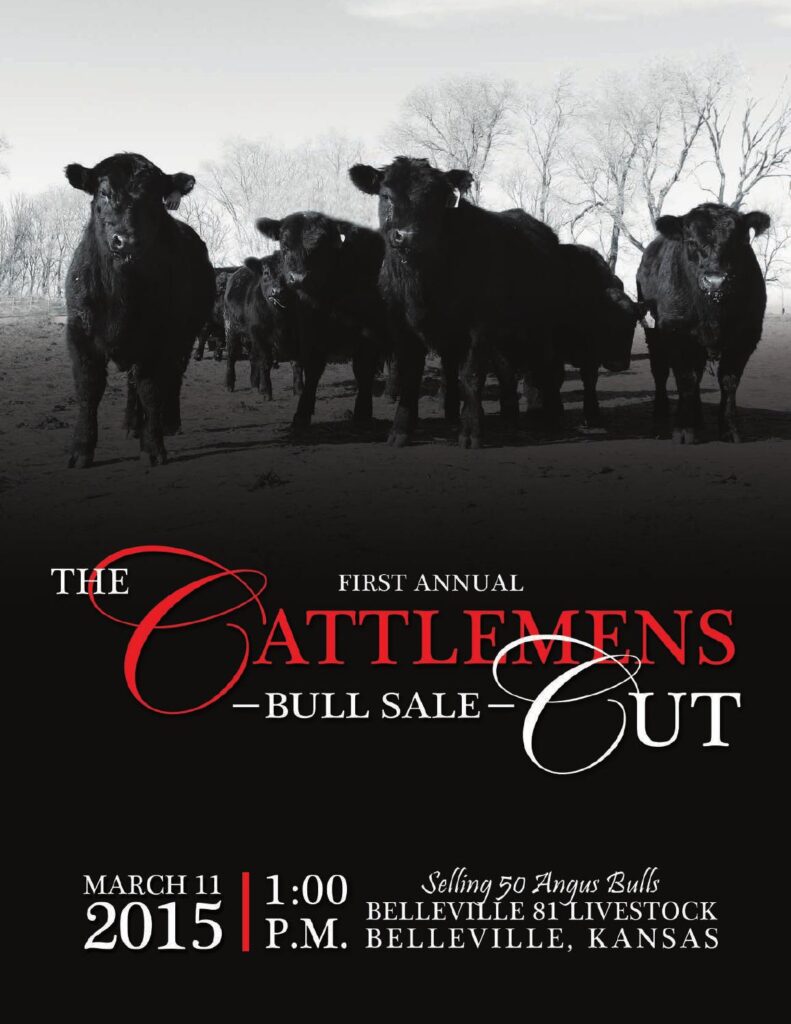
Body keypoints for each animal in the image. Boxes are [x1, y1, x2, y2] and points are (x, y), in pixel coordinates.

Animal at [64, 152, 214, 467]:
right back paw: (132, 424)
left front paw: (153, 446)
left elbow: (152, 389)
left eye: (154, 199)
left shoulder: (163, 337)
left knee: (173, 377)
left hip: (186, 337)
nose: (127, 240)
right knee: (133, 382)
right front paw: (81, 449)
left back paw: (169, 423)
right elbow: (88, 388)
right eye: (104, 193)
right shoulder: (80, 332)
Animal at [255, 212, 387, 430]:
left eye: (322, 247)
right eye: (285, 245)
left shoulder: (370, 332)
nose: (298, 278)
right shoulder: (310, 331)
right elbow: (313, 369)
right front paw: (302, 413)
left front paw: (362, 412)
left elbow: (362, 369)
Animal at [349, 157, 561, 448]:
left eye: (437, 199)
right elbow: (409, 377)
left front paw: (471, 432)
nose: (408, 235)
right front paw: (400, 431)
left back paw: (549, 418)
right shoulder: (402, 328)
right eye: (386, 196)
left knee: (545, 365)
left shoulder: (478, 327)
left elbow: (470, 377)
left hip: (542, 324)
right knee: (507, 371)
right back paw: (508, 419)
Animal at [636, 202, 770, 443]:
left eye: (740, 241)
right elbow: (685, 380)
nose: (715, 280)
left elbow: (729, 381)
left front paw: (729, 429)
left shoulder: (746, 336)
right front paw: (684, 429)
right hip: (652, 332)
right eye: (691, 241)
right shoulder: (676, 332)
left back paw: (697, 419)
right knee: (660, 372)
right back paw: (660, 421)